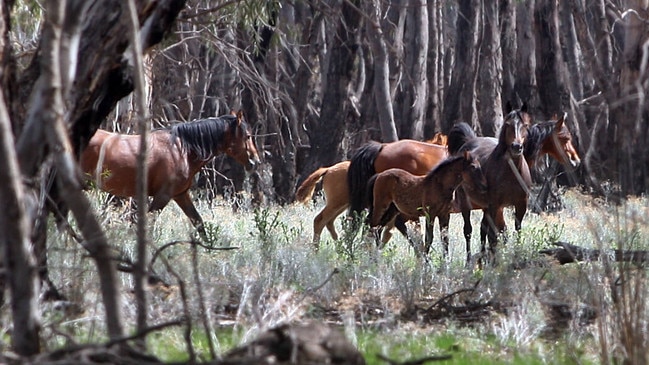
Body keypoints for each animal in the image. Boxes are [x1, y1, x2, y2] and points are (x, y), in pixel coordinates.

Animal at [81, 109, 260, 232]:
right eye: (248, 136)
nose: (255, 161)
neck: (181, 150)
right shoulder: (163, 196)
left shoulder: (180, 195)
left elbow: (198, 223)